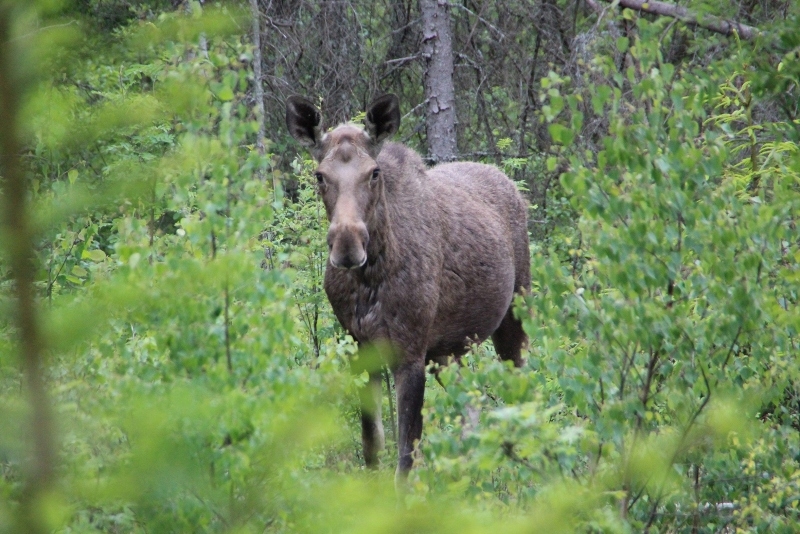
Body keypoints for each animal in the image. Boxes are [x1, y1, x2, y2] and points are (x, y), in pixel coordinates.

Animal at [284, 94, 528, 488]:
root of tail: (510, 183)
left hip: (515, 312)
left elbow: (405, 456)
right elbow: (372, 443)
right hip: (449, 351)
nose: (348, 244)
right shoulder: (360, 347)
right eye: (320, 175)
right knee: (470, 405)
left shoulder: (411, 352)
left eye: (374, 172)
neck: (370, 280)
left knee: (520, 393)